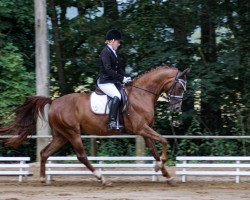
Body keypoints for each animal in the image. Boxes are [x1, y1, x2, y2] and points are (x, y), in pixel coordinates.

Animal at [0, 66, 189, 185]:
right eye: (180, 87)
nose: (176, 109)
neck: (141, 95)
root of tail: (54, 102)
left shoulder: (144, 130)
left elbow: (155, 151)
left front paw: (167, 176)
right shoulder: (141, 128)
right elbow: (164, 140)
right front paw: (161, 165)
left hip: (61, 136)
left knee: (45, 153)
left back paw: (42, 179)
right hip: (72, 133)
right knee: (81, 156)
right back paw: (102, 178)